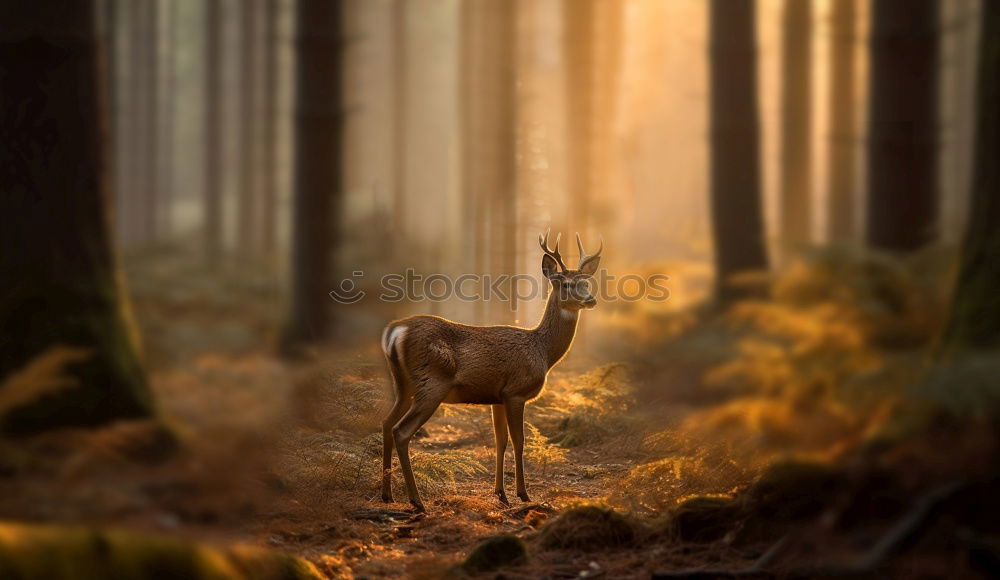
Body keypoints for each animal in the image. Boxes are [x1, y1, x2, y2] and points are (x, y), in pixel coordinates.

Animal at [380, 231, 600, 512]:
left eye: (586, 282)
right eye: (566, 284)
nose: (590, 299)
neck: (542, 351)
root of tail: (396, 331)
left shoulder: (497, 397)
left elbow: (500, 441)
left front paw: (500, 494)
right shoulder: (516, 391)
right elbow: (519, 441)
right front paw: (523, 494)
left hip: (402, 385)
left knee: (386, 423)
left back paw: (387, 494)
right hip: (431, 383)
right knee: (401, 431)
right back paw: (416, 501)